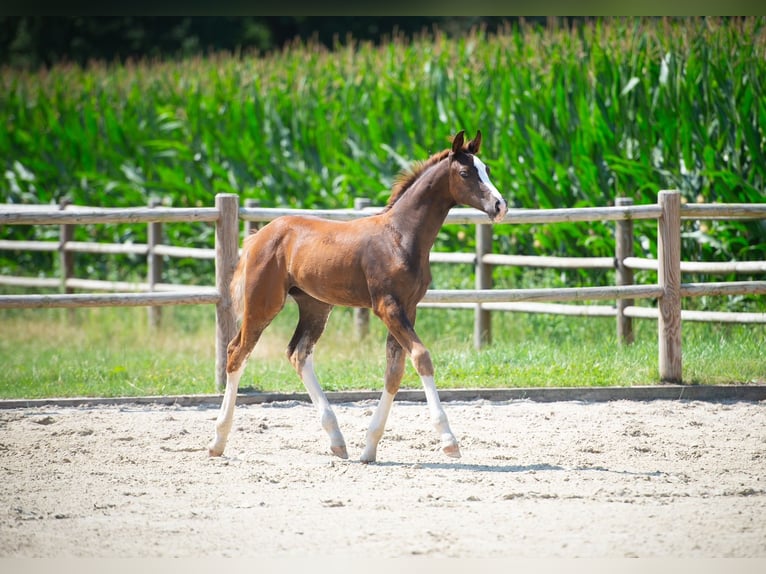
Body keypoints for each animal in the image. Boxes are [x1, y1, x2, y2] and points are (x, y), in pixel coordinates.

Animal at [208, 129, 510, 464]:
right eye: (466, 173)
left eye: (487, 169)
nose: (500, 206)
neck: (399, 236)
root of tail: (258, 236)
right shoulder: (387, 307)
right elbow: (421, 357)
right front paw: (448, 441)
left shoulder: (408, 308)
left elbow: (394, 371)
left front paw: (369, 447)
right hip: (263, 304)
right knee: (237, 352)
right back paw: (218, 441)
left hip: (315, 306)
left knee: (298, 353)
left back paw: (337, 441)